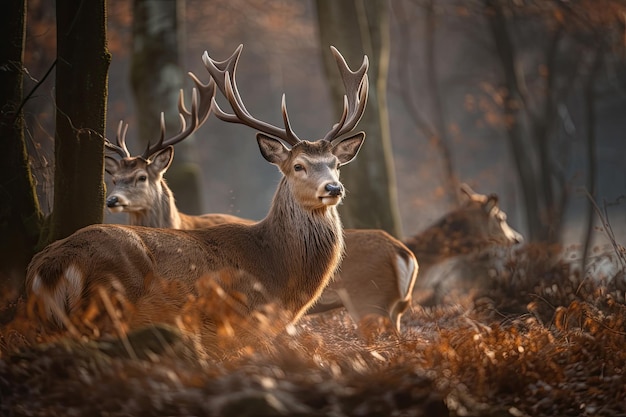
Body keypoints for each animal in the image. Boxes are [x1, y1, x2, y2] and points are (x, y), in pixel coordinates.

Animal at [26, 44, 368, 348]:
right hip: (109, 302)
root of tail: (49, 267)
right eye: (298, 165)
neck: (276, 272)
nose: (333, 188)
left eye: (336, 164)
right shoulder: (240, 324)